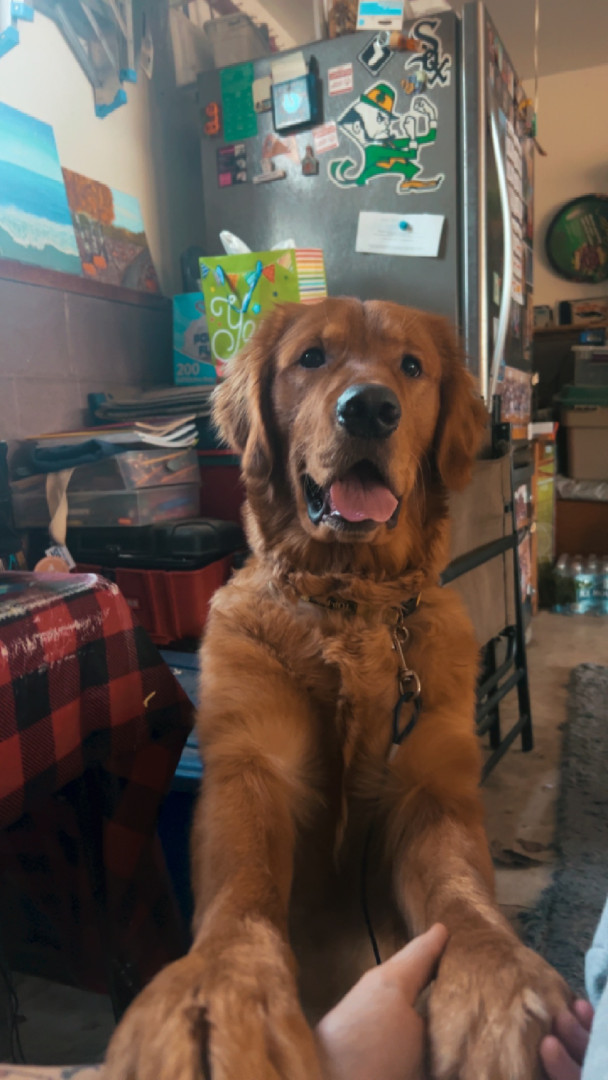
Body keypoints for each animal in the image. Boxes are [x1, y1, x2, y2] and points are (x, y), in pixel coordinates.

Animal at [105, 298, 569, 1080]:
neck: (351, 602)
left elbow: (463, 895)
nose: (370, 408)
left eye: (411, 367)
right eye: (312, 359)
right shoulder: (250, 769)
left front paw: (498, 988)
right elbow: (242, 889)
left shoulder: (431, 788)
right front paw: (213, 997)